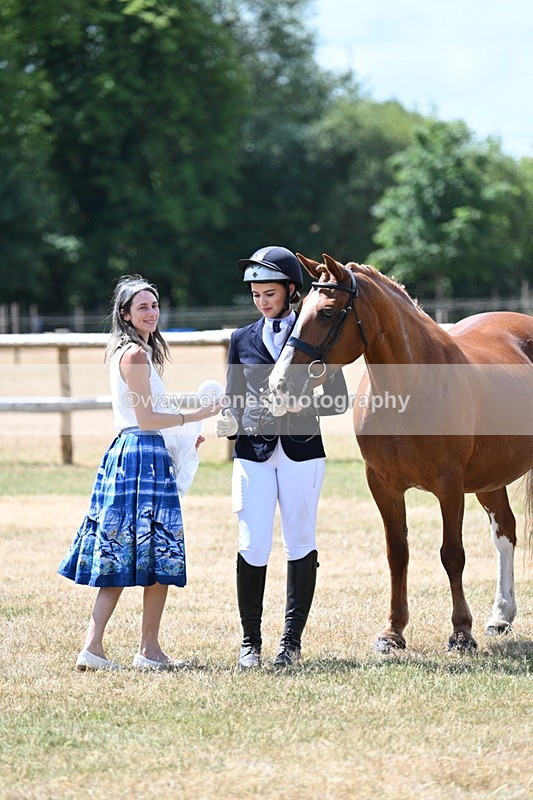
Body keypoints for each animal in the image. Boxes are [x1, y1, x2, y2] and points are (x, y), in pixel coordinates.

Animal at [270, 253, 533, 653]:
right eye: (298, 309)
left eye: (328, 312)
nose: (279, 383)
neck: (410, 389)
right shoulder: (383, 484)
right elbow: (398, 553)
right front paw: (393, 632)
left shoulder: (449, 486)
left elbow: (452, 555)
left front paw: (461, 633)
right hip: (490, 478)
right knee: (505, 530)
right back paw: (501, 616)